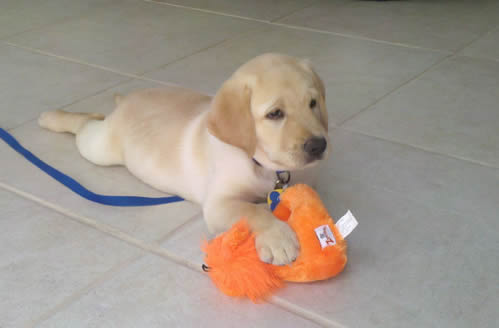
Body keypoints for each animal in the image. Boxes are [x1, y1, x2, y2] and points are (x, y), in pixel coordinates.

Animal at [38, 52, 328, 266]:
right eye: (275, 114)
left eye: (313, 103)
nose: (319, 145)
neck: (262, 165)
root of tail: (127, 100)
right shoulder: (218, 204)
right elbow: (252, 211)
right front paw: (278, 237)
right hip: (100, 149)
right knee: (83, 124)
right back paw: (52, 117)